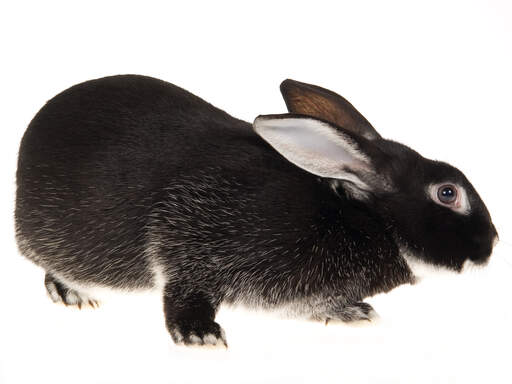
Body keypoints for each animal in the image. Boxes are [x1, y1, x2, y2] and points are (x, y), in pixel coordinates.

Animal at [15, 76, 496, 348]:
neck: (361, 219)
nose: (491, 245)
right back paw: (71, 292)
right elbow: (183, 287)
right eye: (447, 193)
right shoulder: (190, 233)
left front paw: (351, 313)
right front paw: (199, 336)